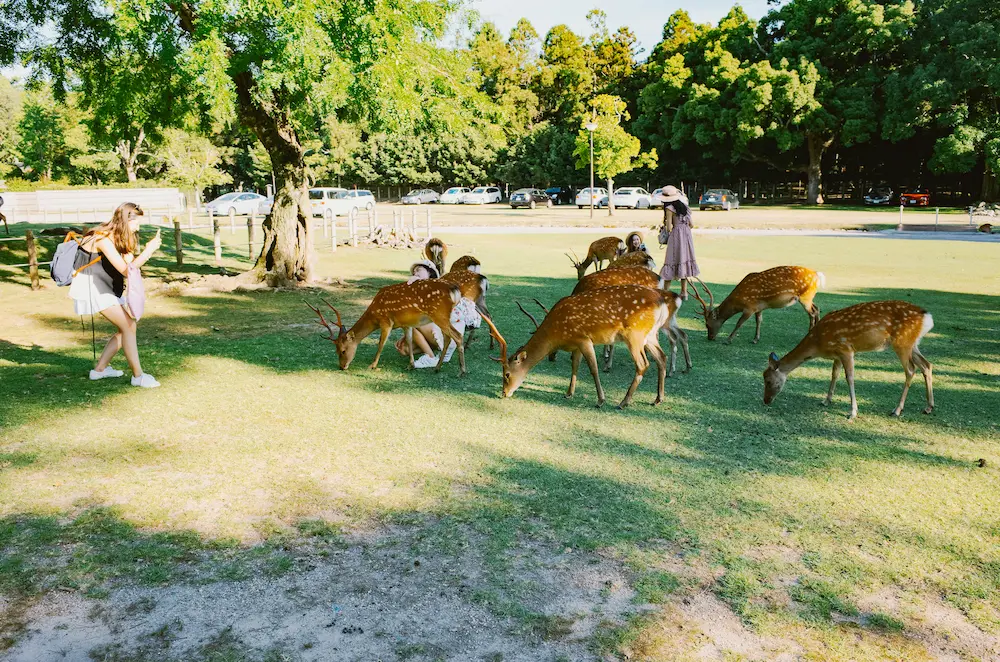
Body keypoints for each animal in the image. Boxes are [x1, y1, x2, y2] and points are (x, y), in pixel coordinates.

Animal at [306, 279, 466, 375]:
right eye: (336, 350)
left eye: (343, 350)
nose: (342, 366)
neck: (374, 316)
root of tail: (454, 290)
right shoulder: (406, 324)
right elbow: (409, 341)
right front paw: (411, 365)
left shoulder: (386, 321)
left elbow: (380, 344)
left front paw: (372, 365)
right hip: (443, 317)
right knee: (448, 338)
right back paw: (437, 367)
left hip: (439, 314)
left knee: (457, 336)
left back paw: (462, 371)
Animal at [479, 284, 673, 409]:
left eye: (506, 374)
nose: (504, 393)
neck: (557, 333)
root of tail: (662, 302)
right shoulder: (576, 344)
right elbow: (575, 366)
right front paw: (568, 393)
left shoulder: (584, 338)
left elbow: (593, 368)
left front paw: (600, 400)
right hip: (650, 335)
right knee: (662, 357)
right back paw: (658, 399)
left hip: (634, 335)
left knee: (643, 364)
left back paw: (623, 403)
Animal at [690, 266, 825, 344]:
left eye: (707, 324)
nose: (710, 338)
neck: (738, 302)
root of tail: (817, 274)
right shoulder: (758, 307)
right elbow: (759, 320)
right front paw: (755, 339)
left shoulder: (749, 307)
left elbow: (739, 322)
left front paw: (728, 340)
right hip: (809, 297)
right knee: (817, 308)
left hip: (805, 297)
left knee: (812, 313)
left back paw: (809, 333)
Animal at [763, 300, 934, 421]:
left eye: (768, 380)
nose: (765, 400)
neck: (818, 343)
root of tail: (927, 317)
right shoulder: (837, 355)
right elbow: (834, 375)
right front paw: (826, 400)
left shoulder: (846, 349)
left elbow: (849, 378)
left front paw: (852, 412)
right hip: (912, 344)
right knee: (926, 365)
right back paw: (928, 407)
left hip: (902, 343)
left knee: (911, 370)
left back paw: (897, 410)